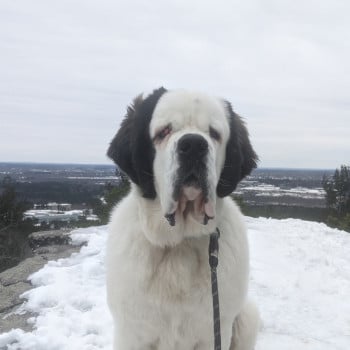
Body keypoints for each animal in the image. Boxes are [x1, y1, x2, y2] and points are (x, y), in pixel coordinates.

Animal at [106, 88, 260, 350]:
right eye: (164, 131)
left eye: (214, 134)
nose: (194, 145)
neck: (179, 244)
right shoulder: (132, 332)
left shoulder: (215, 330)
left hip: (248, 317)